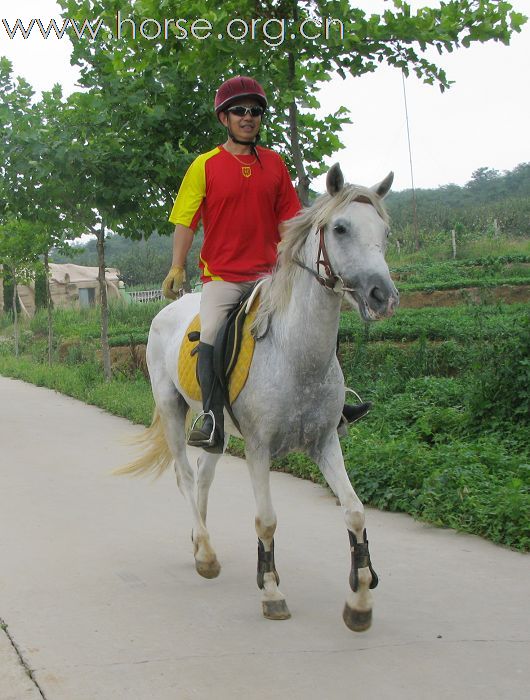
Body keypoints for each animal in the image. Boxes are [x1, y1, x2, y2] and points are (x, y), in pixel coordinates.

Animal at [120, 167, 396, 632]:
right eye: (340, 228)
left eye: (385, 231)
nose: (383, 296)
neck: (294, 353)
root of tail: (167, 311)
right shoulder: (259, 447)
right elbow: (266, 521)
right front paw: (271, 592)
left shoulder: (325, 441)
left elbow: (355, 511)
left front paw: (359, 601)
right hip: (173, 409)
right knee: (185, 476)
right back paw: (206, 554)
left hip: (217, 431)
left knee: (204, 476)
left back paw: (199, 543)